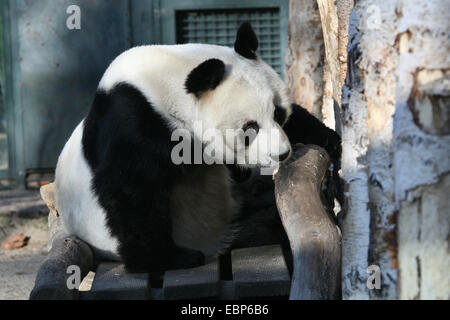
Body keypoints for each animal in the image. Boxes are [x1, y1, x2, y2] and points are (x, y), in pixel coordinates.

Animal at [54, 21, 340, 272]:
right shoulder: (132, 119)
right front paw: (162, 259)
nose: (281, 153)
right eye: (250, 128)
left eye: (278, 113)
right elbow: (130, 187)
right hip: (204, 232)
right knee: (261, 227)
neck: (164, 83)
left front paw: (329, 139)